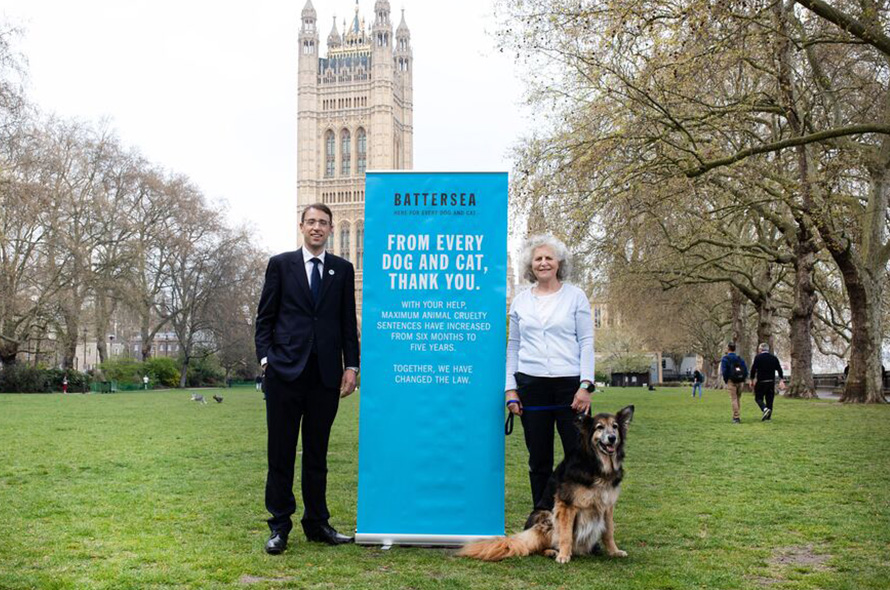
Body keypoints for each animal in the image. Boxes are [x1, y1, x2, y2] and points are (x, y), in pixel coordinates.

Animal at [458, 408, 632, 564]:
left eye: (615, 426)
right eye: (599, 427)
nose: (612, 438)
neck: (597, 466)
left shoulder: (607, 505)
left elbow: (609, 533)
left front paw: (614, 552)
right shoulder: (566, 505)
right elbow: (566, 535)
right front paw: (563, 556)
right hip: (546, 516)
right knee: (538, 547)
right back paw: (552, 551)